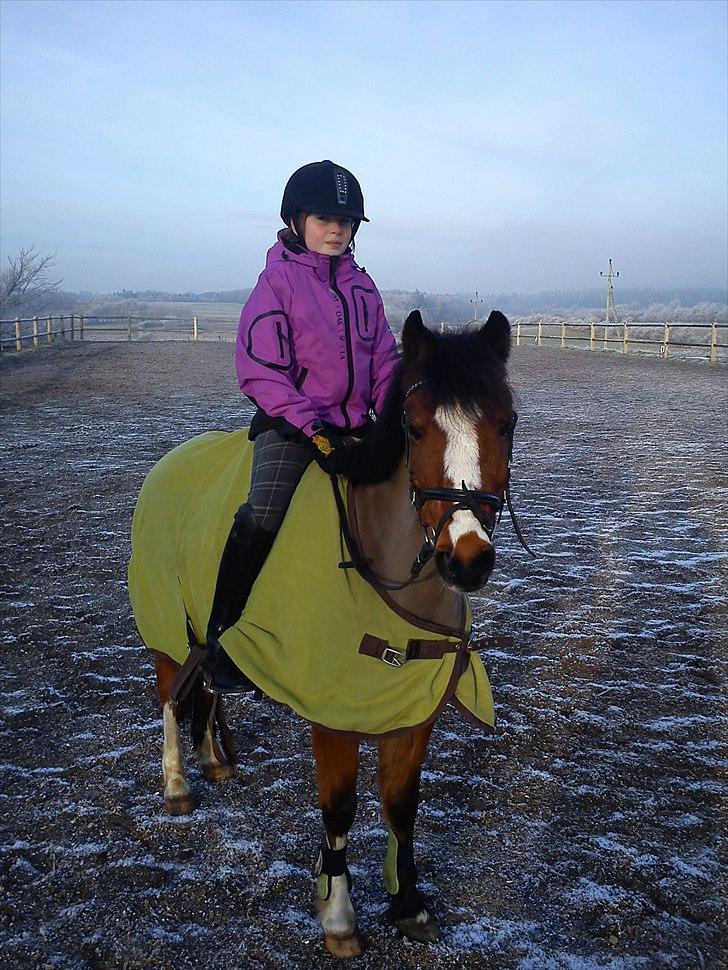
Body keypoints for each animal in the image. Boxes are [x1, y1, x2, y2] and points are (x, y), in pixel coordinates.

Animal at [129, 309, 518, 958]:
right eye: (414, 429)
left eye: (506, 423)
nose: (466, 560)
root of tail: (169, 463)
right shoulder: (333, 713)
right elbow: (339, 808)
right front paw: (337, 913)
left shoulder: (411, 710)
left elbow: (401, 806)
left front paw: (407, 903)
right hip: (163, 621)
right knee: (169, 697)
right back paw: (178, 782)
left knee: (203, 685)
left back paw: (212, 759)